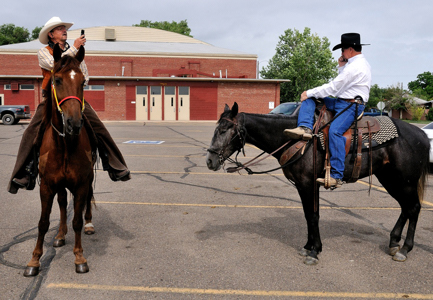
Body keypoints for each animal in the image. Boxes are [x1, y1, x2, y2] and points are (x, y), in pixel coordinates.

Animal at [24, 44, 95, 276]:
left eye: (83, 82)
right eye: (57, 80)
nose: (74, 123)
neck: (64, 144)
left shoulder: (81, 184)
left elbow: (77, 221)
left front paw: (79, 257)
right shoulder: (46, 185)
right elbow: (43, 222)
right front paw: (34, 260)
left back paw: (89, 225)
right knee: (63, 202)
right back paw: (60, 235)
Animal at [206, 103, 428, 264]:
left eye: (224, 130)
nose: (210, 161)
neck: (297, 140)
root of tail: (422, 135)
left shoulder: (308, 184)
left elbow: (313, 216)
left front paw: (314, 251)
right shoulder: (301, 185)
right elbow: (308, 215)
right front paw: (308, 247)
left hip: (405, 181)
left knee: (414, 208)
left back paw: (405, 249)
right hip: (391, 179)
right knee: (406, 208)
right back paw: (394, 242)